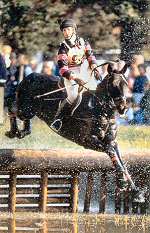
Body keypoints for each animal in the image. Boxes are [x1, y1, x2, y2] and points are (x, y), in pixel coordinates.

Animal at [15, 63, 145, 202]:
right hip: (25, 109)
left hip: (29, 110)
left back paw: (22, 131)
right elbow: (111, 152)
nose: (123, 108)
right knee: (13, 110)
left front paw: (136, 191)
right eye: (113, 84)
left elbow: (121, 160)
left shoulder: (112, 141)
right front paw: (121, 181)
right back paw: (14, 131)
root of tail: (30, 75)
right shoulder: (87, 140)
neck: (99, 109)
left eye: (126, 84)